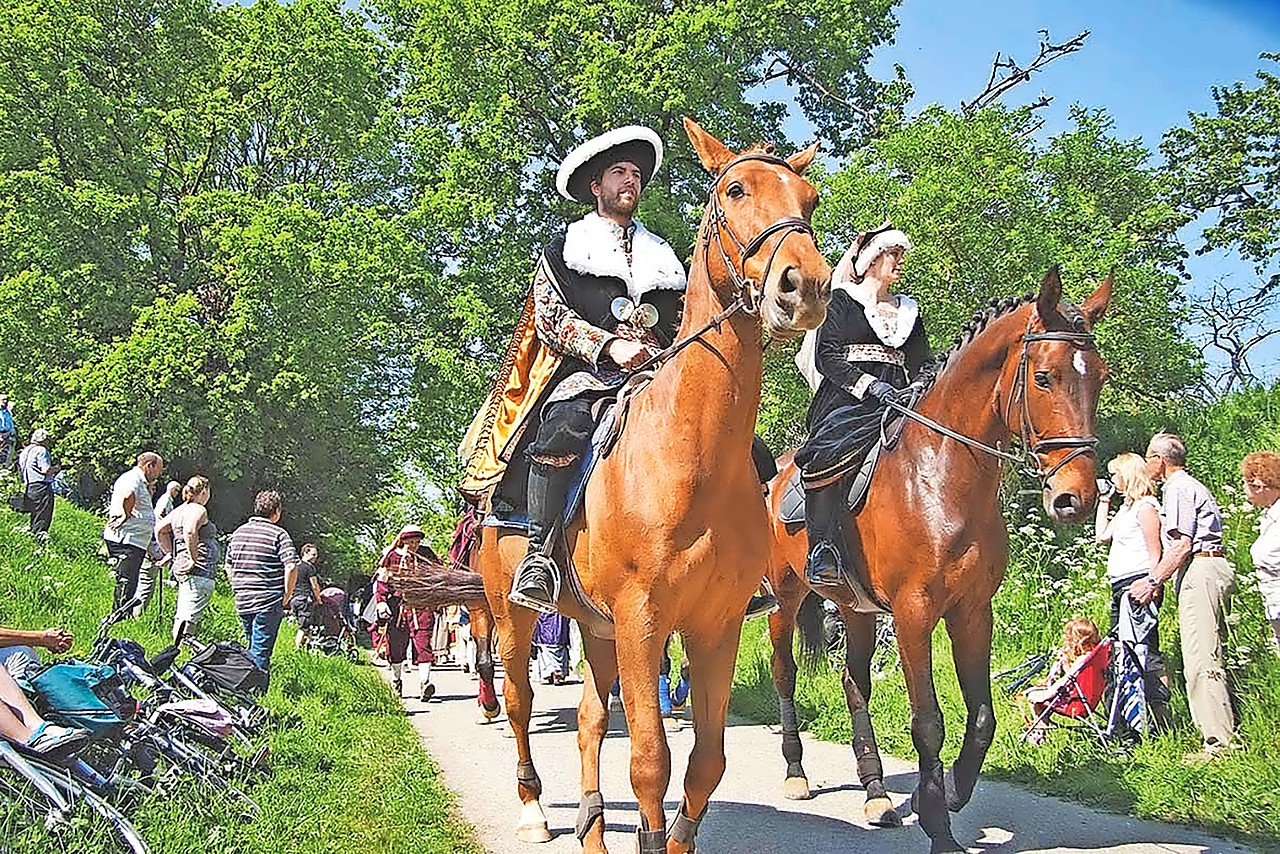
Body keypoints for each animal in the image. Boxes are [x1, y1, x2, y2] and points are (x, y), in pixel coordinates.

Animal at [476, 120, 834, 854]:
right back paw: (534, 809)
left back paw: (589, 824)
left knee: (588, 717)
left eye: (809, 200)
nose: (804, 285)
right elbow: (649, 763)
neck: (689, 457)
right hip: (514, 616)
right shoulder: (643, 622)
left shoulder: (714, 626)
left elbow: (705, 764)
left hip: (596, 627)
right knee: (523, 704)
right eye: (735, 189)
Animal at [762, 270, 1105, 850]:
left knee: (854, 683)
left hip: (855, 609)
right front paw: (940, 827)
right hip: (787, 597)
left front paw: (948, 794)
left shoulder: (972, 611)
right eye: (1043, 377)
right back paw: (794, 773)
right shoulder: (914, 613)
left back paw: (877, 792)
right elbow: (928, 721)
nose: (1075, 498)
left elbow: (983, 716)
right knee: (785, 674)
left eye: (1099, 377)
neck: (942, 475)